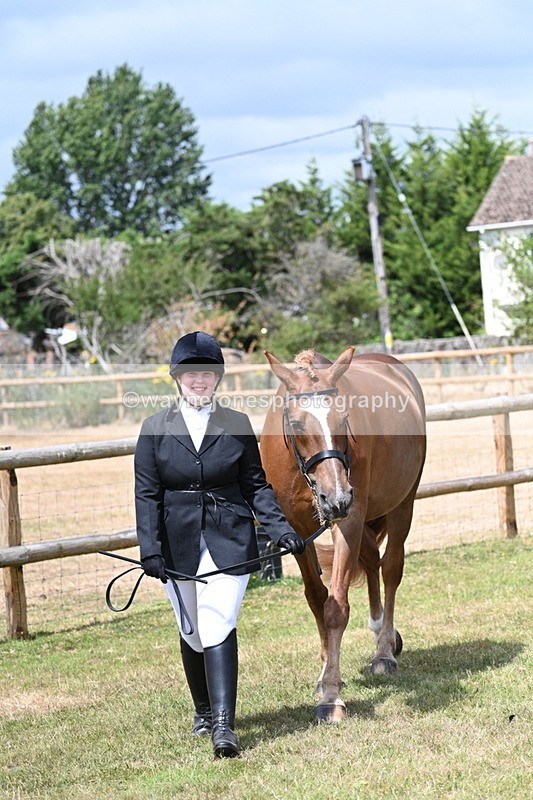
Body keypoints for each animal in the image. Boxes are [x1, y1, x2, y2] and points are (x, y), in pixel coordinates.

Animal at [260, 346, 426, 722]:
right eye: (295, 423)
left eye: (344, 418)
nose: (337, 498)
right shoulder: (295, 531)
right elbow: (316, 598)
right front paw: (325, 673)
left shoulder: (347, 523)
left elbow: (336, 607)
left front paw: (331, 697)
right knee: (372, 561)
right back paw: (380, 630)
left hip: (401, 505)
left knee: (390, 568)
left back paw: (384, 651)